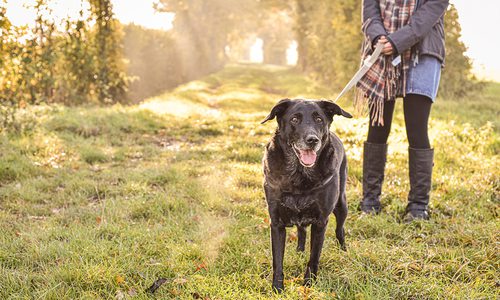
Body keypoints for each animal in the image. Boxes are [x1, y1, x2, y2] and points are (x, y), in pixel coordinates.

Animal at [262, 99, 352, 292]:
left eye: (319, 119)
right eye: (294, 119)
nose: (312, 140)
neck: (299, 174)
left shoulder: (320, 222)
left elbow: (314, 258)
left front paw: (309, 284)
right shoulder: (276, 223)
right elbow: (277, 260)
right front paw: (277, 288)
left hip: (341, 204)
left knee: (339, 230)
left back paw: (344, 251)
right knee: (301, 230)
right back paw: (299, 250)